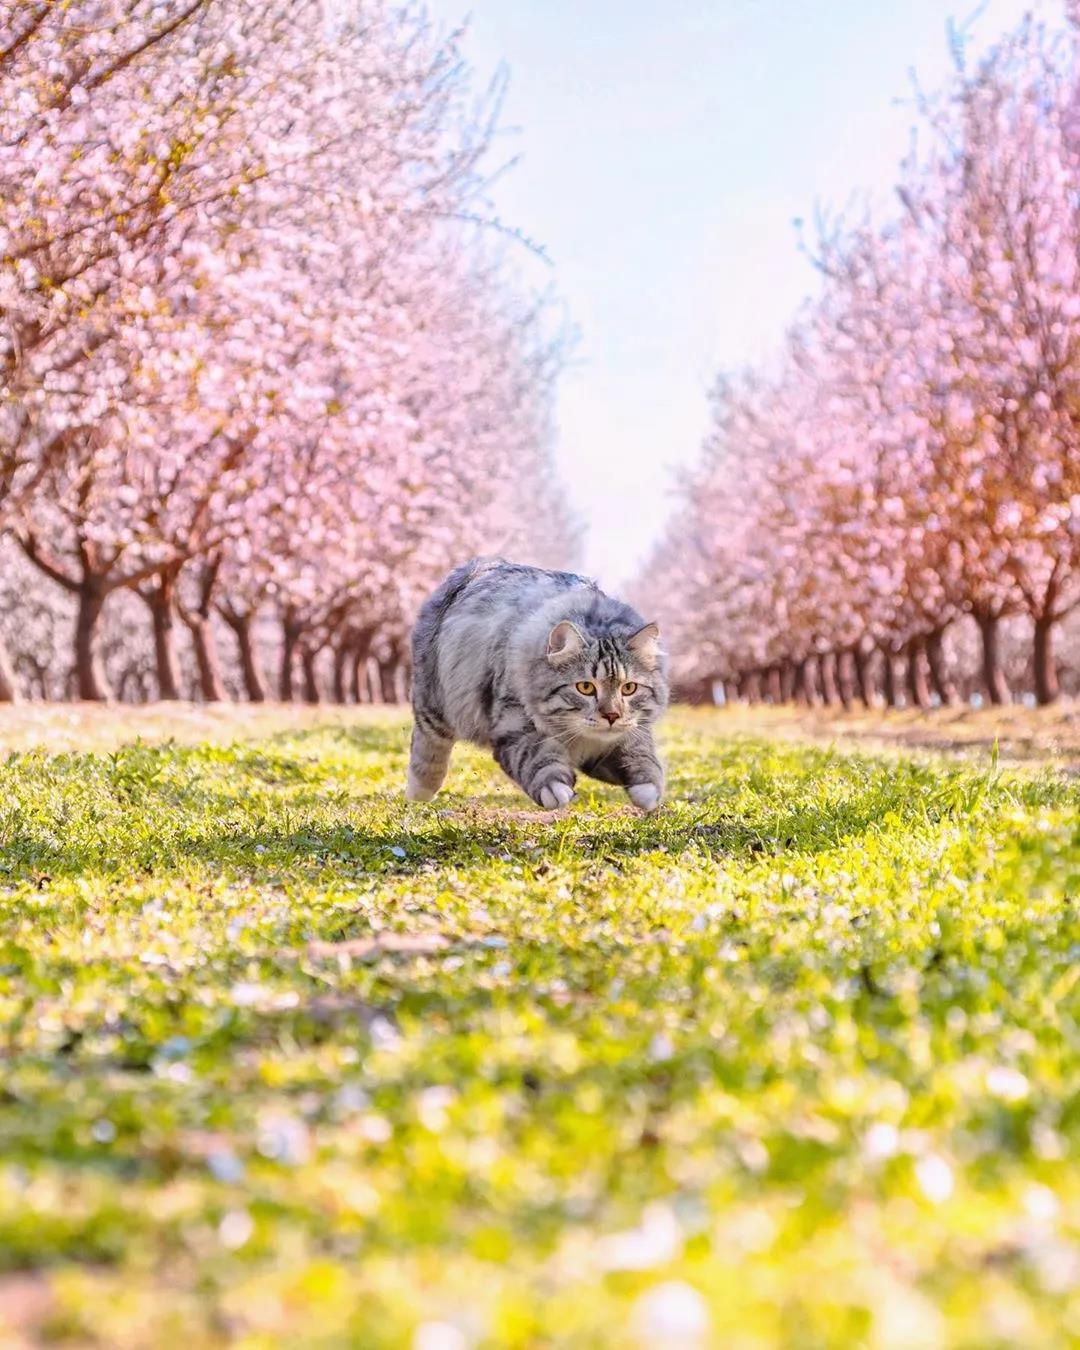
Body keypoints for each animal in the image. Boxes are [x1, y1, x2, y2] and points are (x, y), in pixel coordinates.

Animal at [405, 558, 666, 810]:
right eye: (586, 688)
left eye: (629, 688)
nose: (611, 716)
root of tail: (472, 567)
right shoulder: (513, 723)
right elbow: (538, 758)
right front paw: (555, 788)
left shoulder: (621, 739)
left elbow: (641, 757)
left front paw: (649, 792)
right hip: (435, 702)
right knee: (428, 745)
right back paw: (420, 792)